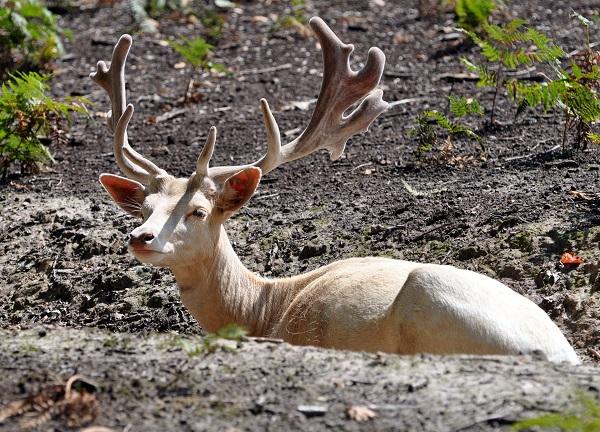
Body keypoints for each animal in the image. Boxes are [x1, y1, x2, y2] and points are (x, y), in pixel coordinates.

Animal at [91, 17, 580, 364]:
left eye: (197, 210)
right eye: (144, 208)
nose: (141, 237)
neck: (263, 309)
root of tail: (561, 356)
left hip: (432, 299)